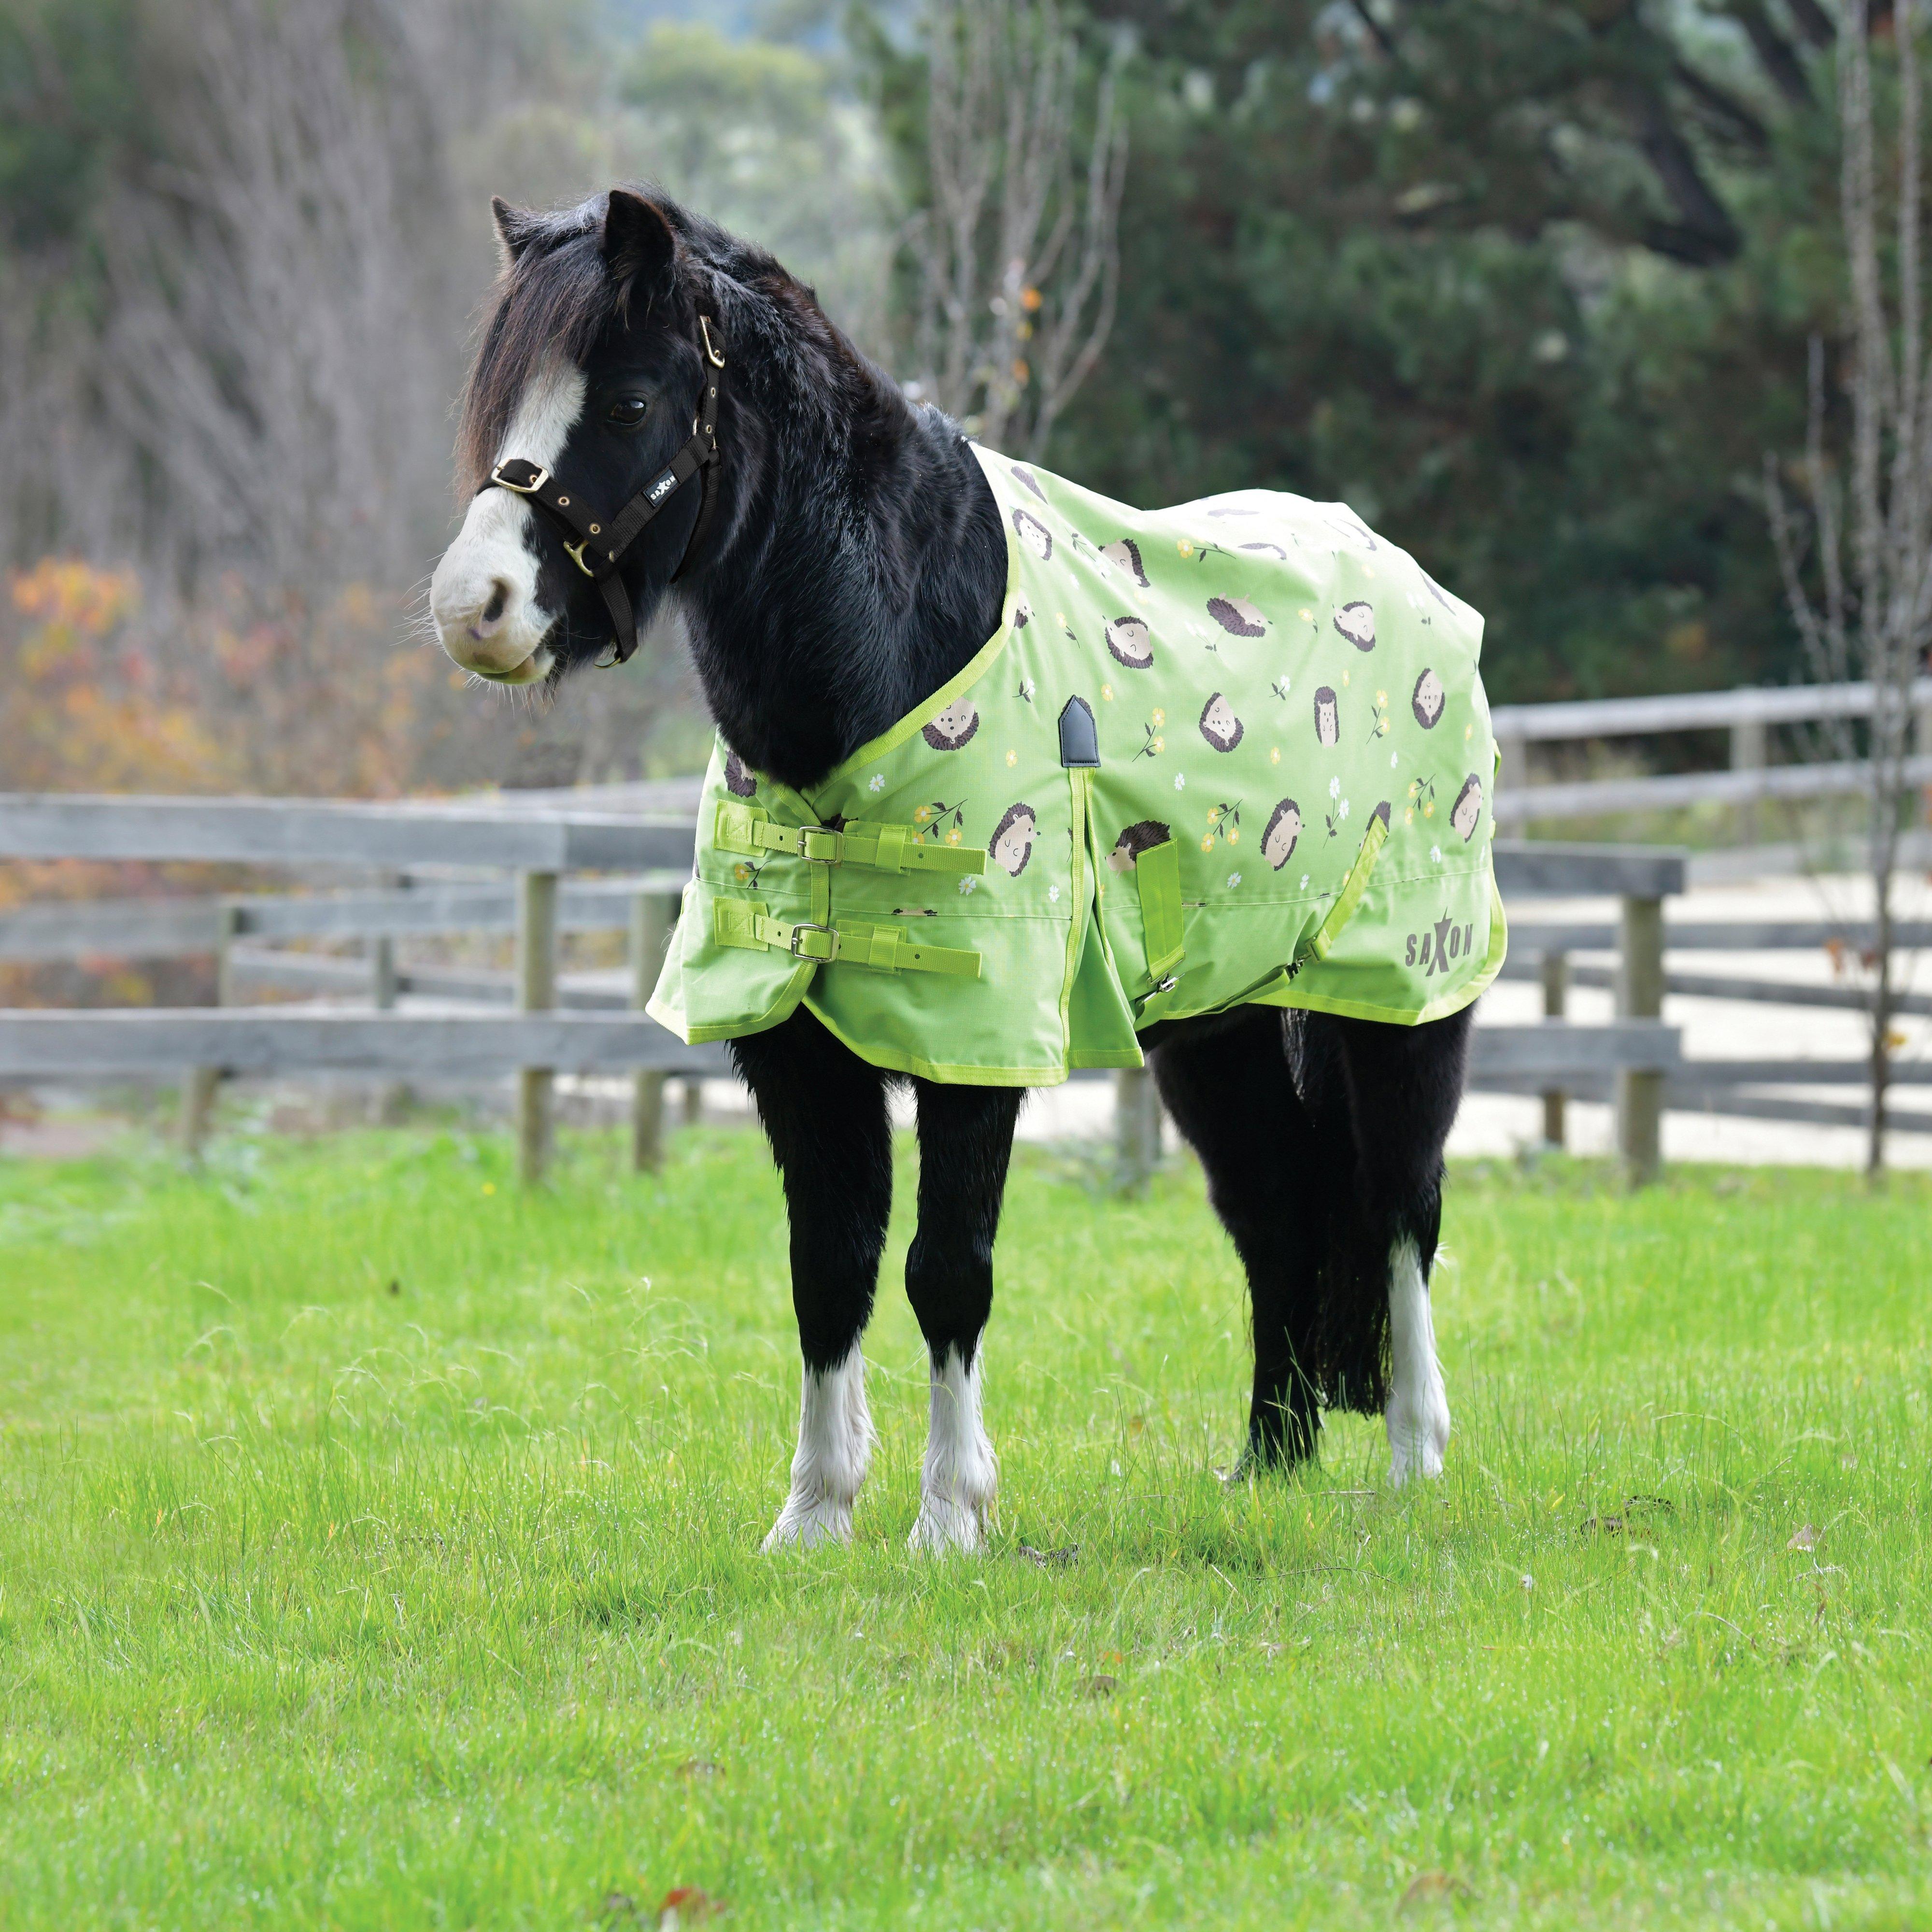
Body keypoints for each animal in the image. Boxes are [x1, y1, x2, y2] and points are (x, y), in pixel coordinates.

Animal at [428, 187, 1472, 1553]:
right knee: (1274, 1206)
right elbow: (827, 1268)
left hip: (1401, 1002)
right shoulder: (797, 1050)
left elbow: (945, 1270)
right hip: (1217, 1030)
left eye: (629, 403)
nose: (474, 606)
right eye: (501, 403)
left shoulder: (977, 1043)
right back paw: (1267, 1465)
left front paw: (948, 1519)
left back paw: (1410, 1459)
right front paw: (813, 1516)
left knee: (1400, 1206)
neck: (893, 644)